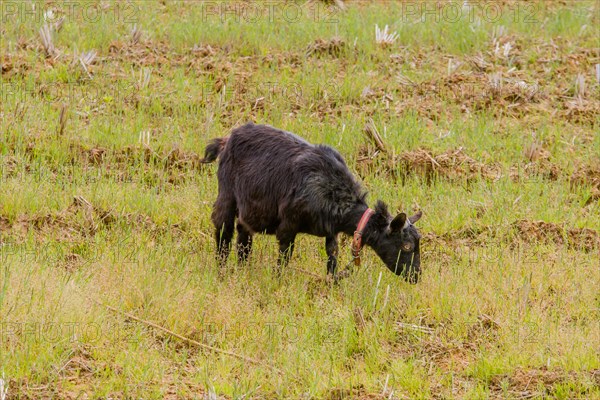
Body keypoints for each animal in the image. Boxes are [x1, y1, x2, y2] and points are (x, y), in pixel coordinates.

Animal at [202, 123, 422, 282]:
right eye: (407, 246)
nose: (416, 277)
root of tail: (227, 139)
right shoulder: (288, 225)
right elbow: (284, 257)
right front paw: (278, 282)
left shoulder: (331, 231)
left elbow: (332, 256)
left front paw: (330, 283)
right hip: (226, 194)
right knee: (223, 231)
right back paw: (221, 272)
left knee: (243, 236)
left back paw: (242, 269)